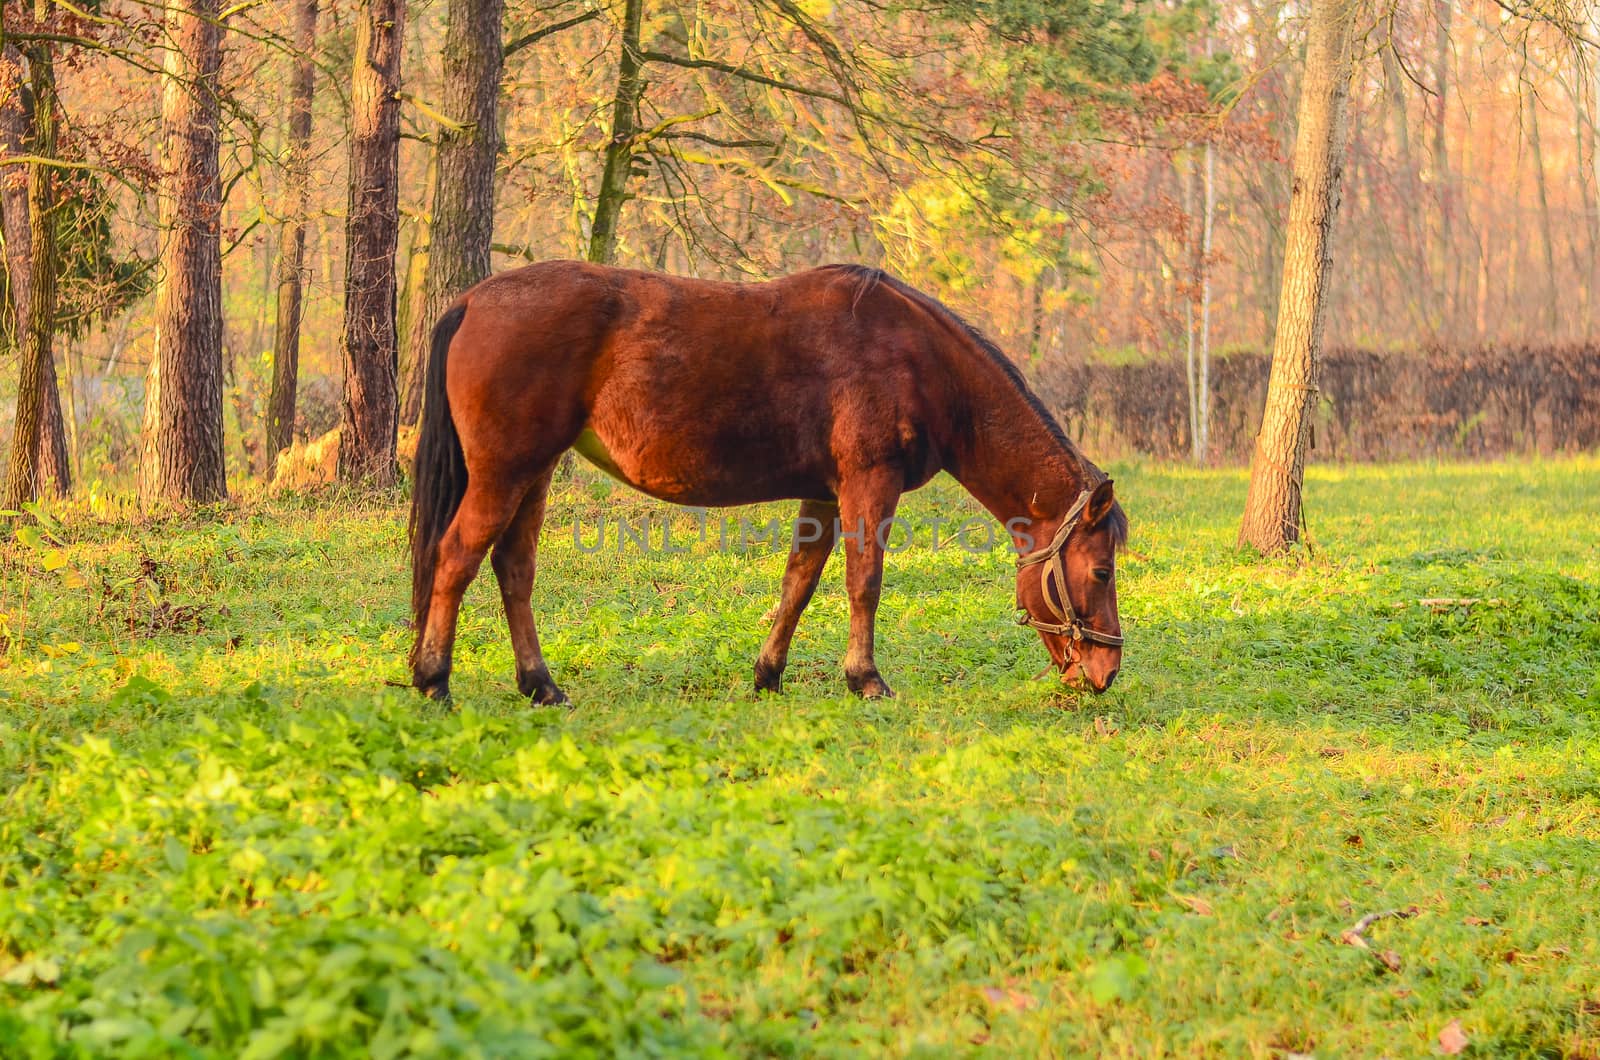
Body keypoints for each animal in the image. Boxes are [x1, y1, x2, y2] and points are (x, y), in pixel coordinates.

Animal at [416, 257, 1139, 704]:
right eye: (1102, 571)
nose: (1105, 673)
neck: (916, 359)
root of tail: (473, 300)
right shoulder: (866, 485)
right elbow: (864, 582)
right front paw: (865, 679)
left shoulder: (823, 494)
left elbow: (798, 584)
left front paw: (768, 674)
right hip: (506, 473)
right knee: (456, 558)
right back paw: (433, 679)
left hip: (533, 474)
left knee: (513, 569)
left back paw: (540, 685)